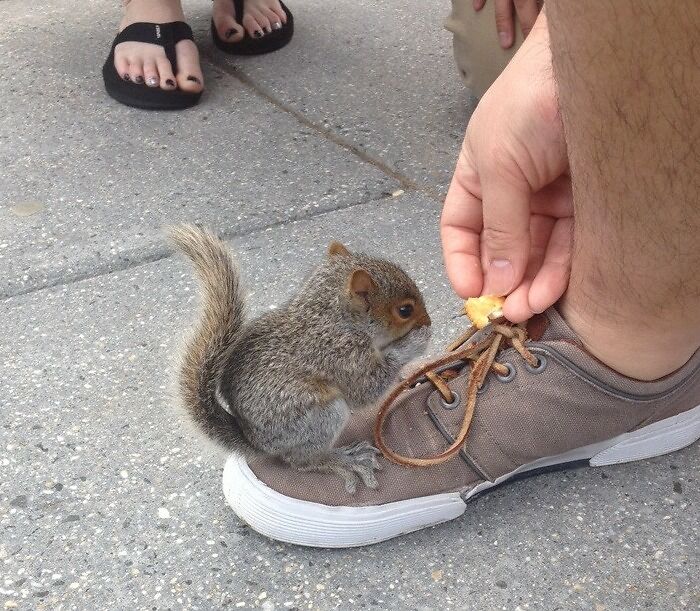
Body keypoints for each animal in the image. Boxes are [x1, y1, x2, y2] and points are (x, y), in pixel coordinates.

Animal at [170, 225, 432, 492]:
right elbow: (366, 389)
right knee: (302, 461)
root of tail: (257, 443)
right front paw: (416, 341)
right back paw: (343, 460)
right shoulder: (343, 355)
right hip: (320, 416)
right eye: (405, 310)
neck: (335, 318)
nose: (428, 321)